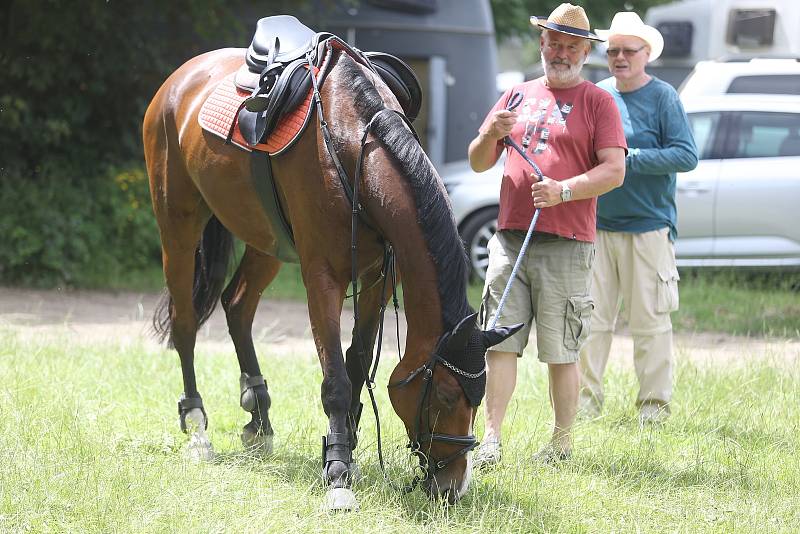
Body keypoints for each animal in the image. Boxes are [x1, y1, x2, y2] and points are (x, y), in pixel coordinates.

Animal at [144, 44, 520, 508]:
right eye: (448, 394)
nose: (453, 486)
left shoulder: (378, 278)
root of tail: (180, 77)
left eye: (479, 398)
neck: (355, 142)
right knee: (184, 322)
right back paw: (198, 428)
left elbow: (356, 361)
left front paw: (349, 450)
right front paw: (339, 471)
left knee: (237, 306)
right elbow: (337, 378)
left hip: (267, 240)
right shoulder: (322, 278)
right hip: (177, 225)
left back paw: (259, 417)